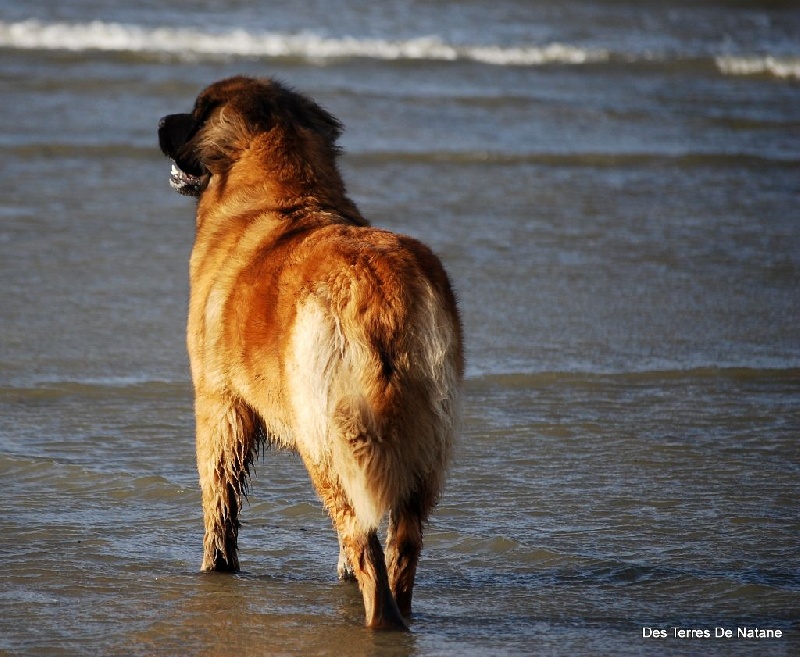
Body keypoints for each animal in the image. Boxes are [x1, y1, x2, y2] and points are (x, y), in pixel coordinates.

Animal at [158, 74, 462, 628]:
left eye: (196, 110)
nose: (160, 122)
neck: (286, 195)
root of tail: (376, 288)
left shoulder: (219, 404)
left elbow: (220, 502)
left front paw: (216, 569)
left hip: (324, 436)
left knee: (361, 539)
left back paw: (377, 619)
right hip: (423, 443)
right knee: (400, 543)